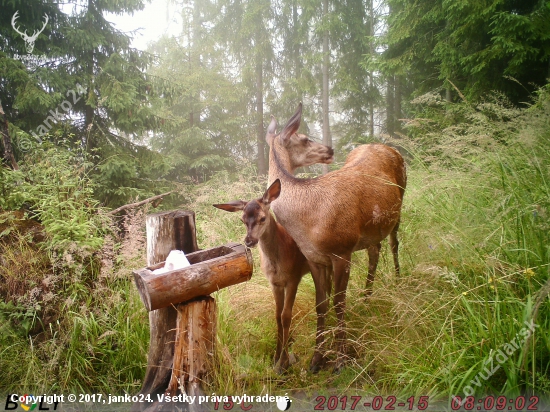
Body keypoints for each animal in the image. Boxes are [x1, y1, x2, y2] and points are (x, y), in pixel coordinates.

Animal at [215, 179, 312, 374]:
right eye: (242, 219)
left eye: (262, 218)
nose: (249, 241)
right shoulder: (274, 283)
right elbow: (277, 316)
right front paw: (275, 358)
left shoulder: (294, 277)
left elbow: (286, 316)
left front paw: (283, 363)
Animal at [270, 104, 408, 374]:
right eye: (305, 138)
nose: (330, 149)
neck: (307, 222)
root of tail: (387, 146)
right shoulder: (314, 257)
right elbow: (321, 304)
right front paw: (317, 359)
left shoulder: (342, 249)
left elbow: (339, 303)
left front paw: (341, 359)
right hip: (371, 230)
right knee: (375, 251)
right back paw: (366, 298)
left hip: (400, 204)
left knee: (394, 244)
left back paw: (398, 282)